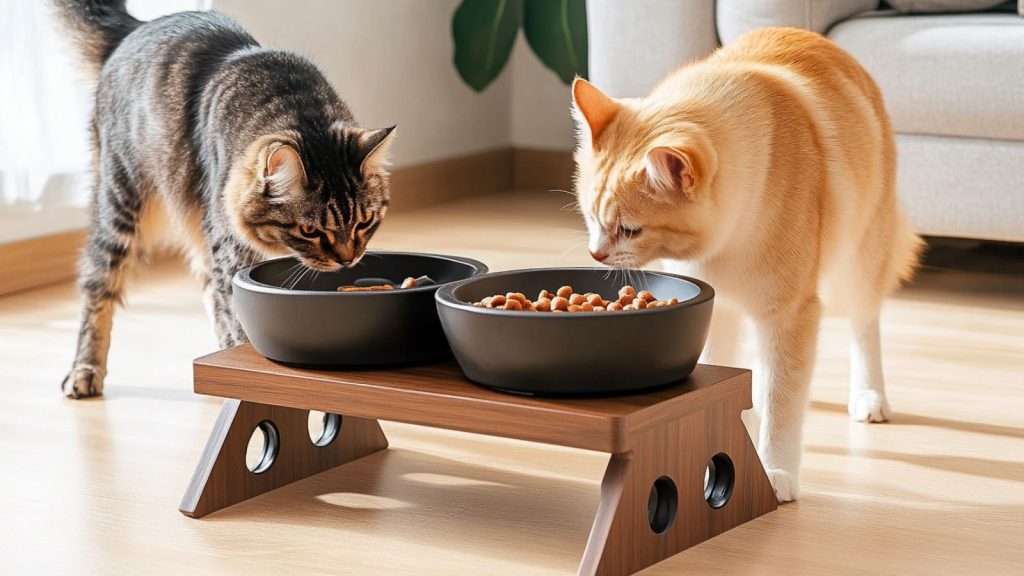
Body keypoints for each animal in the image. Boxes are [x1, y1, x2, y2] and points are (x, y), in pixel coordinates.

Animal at [55, 0, 395, 397]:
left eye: (364, 222)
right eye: (310, 231)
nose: (347, 259)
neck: (300, 110)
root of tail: (135, 27)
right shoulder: (229, 249)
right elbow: (239, 320)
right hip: (121, 204)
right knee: (97, 285)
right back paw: (84, 369)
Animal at [577, 29, 921, 500]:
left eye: (631, 230)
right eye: (591, 217)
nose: (595, 254)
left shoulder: (790, 313)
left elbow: (783, 400)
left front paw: (776, 471)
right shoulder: (713, 307)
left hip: (860, 258)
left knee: (864, 324)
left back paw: (869, 395)